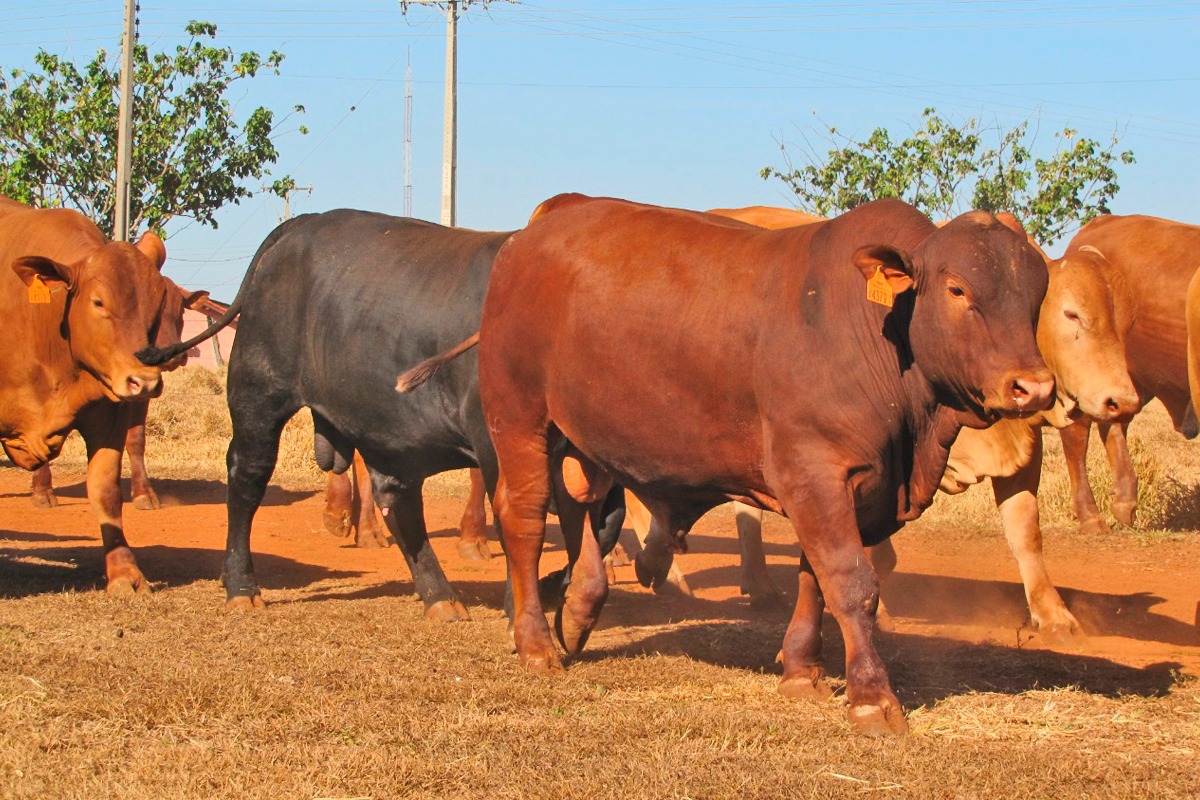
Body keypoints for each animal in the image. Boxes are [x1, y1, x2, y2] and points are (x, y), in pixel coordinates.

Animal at [0, 194, 187, 594]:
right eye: (99, 302)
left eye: (155, 304)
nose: (144, 381)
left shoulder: (108, 415)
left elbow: (105, 490)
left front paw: (125, 573)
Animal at [139, 209, 624, 618]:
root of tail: (301, 224)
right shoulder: (496, 444)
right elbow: (519, 522)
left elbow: (607, 525)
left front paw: (557, 589)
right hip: (257, 396)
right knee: (246, 479)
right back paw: (241, 587)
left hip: (384, 427)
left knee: (399, 499)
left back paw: (441, 598)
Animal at [470, 195, 1051, 738]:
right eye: (957, 290)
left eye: (1036, 294)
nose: (1034, 386)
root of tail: (540, 226)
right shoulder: (814, 471)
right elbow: (850, 582)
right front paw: (871, 697)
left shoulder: (842, 485)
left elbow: (814, 579)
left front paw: (801, 669)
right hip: (519, 417)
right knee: (524, 517)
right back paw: (536, 643)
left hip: (581, 436)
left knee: (582, 508)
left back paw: (578, 611)